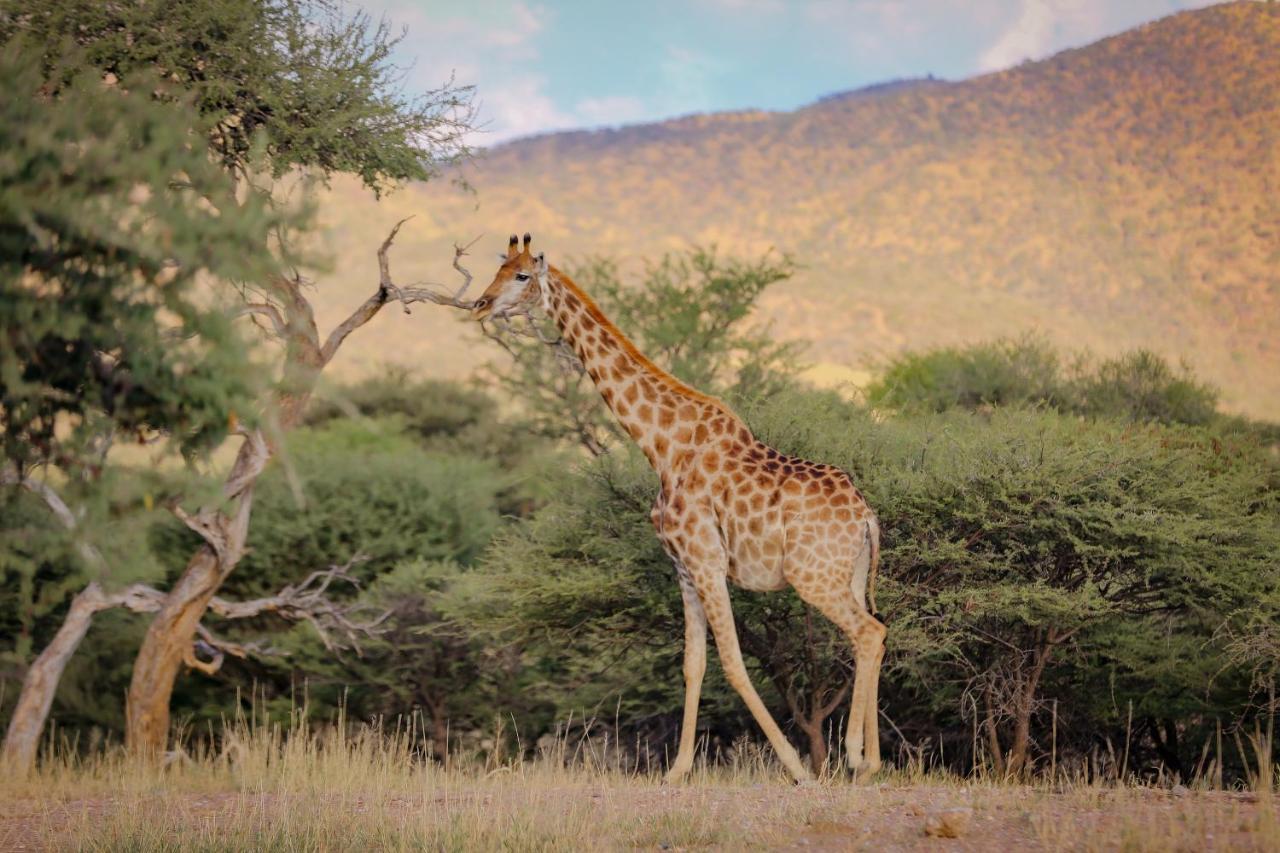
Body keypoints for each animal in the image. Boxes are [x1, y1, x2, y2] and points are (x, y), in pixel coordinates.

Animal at [476, 234, 885, 783]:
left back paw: (859, 758)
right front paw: (677, 771)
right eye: (498, 268)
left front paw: (795, 769)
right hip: (850, 576)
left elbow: (732, 662)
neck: (661, 445)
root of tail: (866, 517)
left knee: (869, 633)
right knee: (870, 636)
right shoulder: (684, 569)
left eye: (521, 276)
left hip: (813, 577)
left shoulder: (707, 560)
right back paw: (870, 759)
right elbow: (694, 664)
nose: (479, 305)